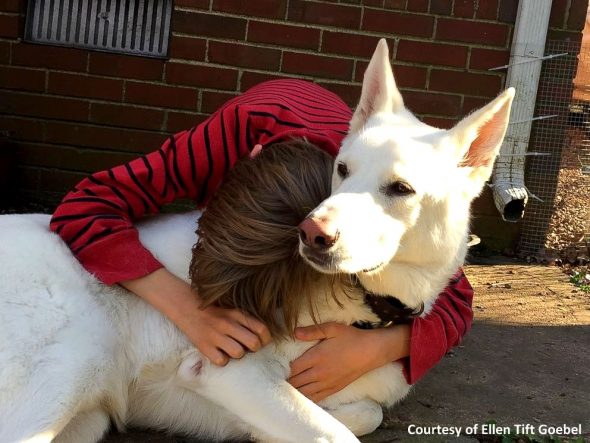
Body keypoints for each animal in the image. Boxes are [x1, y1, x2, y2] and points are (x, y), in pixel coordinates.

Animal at [0, 40, 516, 442]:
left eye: (401, 189)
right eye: (342, 169)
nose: (312, 234)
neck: (364, 303)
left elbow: (364, 414)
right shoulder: (230, 371)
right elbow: (336, 434)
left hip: (88, 416)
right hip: (74, 365)